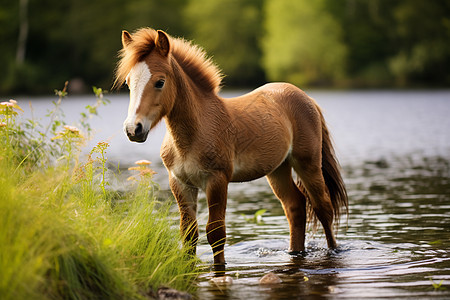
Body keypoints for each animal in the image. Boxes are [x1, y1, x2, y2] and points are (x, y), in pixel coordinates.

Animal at [116, 27, 348, 268]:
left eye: (160, 82)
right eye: (128, 82)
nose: (133, 129)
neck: (193, 134)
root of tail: (306, 97)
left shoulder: (217, 180)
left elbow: (216, 233)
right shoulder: (180, 183)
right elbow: (188, 233)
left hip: (308, 164)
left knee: (323, 207)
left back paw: (333, 250)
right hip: (278, 169)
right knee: (295, 206)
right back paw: (294, 252)